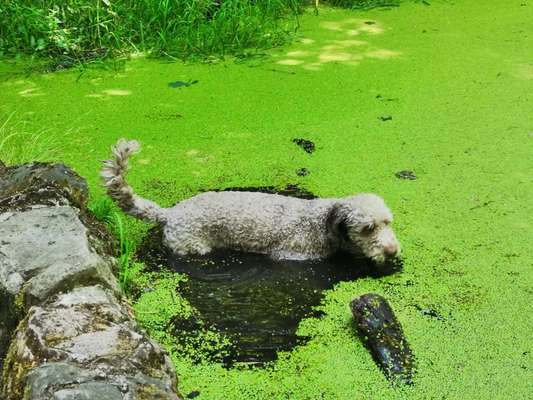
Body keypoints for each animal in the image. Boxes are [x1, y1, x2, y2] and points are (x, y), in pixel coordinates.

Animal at [101, 139, 400, 264]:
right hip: (193, 247)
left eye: (387, 222)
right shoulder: (290, 255)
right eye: (368, 228)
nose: (392, 251)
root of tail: (170, 213)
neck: (321, 222)